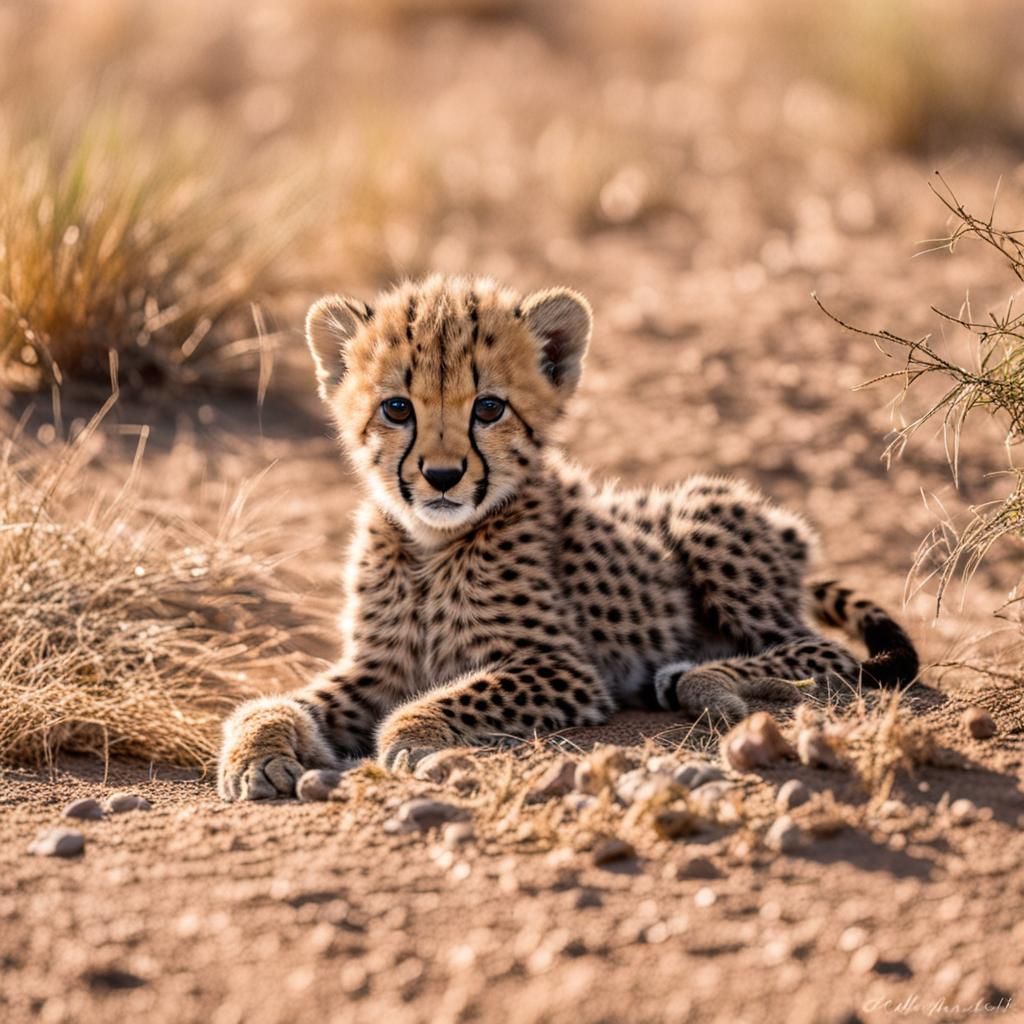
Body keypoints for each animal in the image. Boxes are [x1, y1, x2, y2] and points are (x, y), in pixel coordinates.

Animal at [217, 274, 919, 801]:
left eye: (489, 408)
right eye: (397, 408)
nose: (442, 476)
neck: (430, 545)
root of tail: (786, 530)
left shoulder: (563, 667)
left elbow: (450, 696)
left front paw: (411, 736)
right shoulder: (377, 667)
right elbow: (280, 701)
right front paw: (257, 751)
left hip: (701, 516)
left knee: (821, 652)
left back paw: (706, 676)